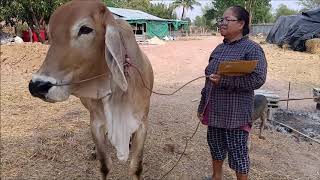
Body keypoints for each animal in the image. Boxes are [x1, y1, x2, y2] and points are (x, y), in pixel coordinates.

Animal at [27, 0, 154, 179]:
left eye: (85, 29)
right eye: (50, 35)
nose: (37, 86)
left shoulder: (142, 123)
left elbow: (136, 167)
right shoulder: (96, 123)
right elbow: (104, 166)